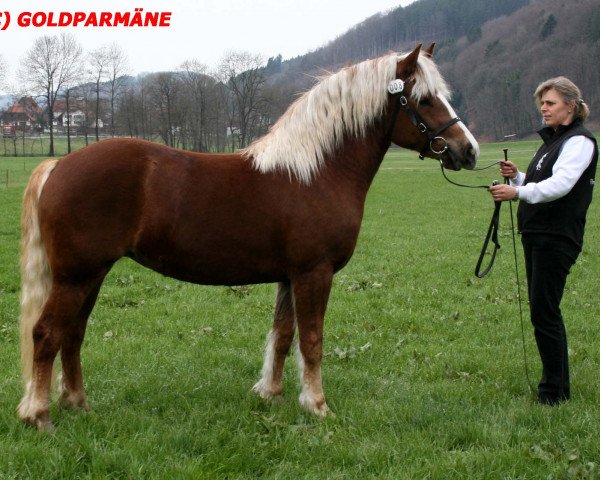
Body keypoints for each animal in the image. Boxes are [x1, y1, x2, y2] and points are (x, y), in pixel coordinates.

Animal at [17, 43, 478, 430]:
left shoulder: (290, 276)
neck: (317, 171)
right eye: (424, 99)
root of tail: (58, 165)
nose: (469, 150)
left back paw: (77, 403)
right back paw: (38, 414)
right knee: (47, 333)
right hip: (77, 276)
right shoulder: (314, 273)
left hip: (90, 275)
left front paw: (271, 395)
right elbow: (312, 340)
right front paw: (317, 405)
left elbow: (284, 335)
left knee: (73, 334)